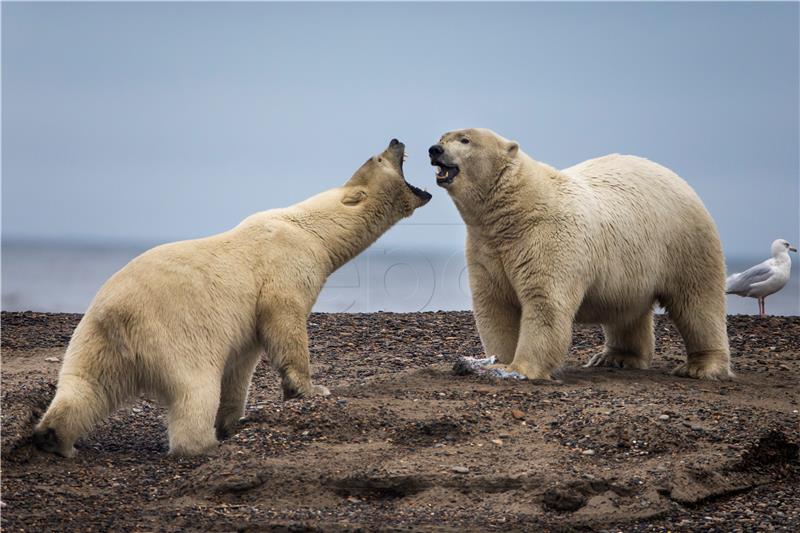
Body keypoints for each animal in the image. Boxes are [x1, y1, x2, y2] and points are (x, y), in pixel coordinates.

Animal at [32, 138, 432, 458]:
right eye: (378, 157)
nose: (396, 139)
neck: (309, 227)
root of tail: (118, 316)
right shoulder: (286, 266)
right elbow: (285, 321)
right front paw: (311, 388)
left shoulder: (245, 325)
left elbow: (241, 364)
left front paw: (232, 420)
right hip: (174, 335)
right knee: (194, 390)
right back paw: (202, 445)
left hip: (93, 339)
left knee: (84, 387)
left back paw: (55, 438)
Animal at [432, 127, 732, 380]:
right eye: (443, 136)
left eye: (465, 139)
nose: (434, 149)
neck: (517, 208)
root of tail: (679, 179)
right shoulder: (486, 246)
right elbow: (495, 303)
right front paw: (499, 361)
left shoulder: (548, 238)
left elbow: (545, 303)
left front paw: (520, 369)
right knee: (627, 311)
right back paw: (615, 358)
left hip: (685, 242)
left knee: (697, 301)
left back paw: (701, 366)